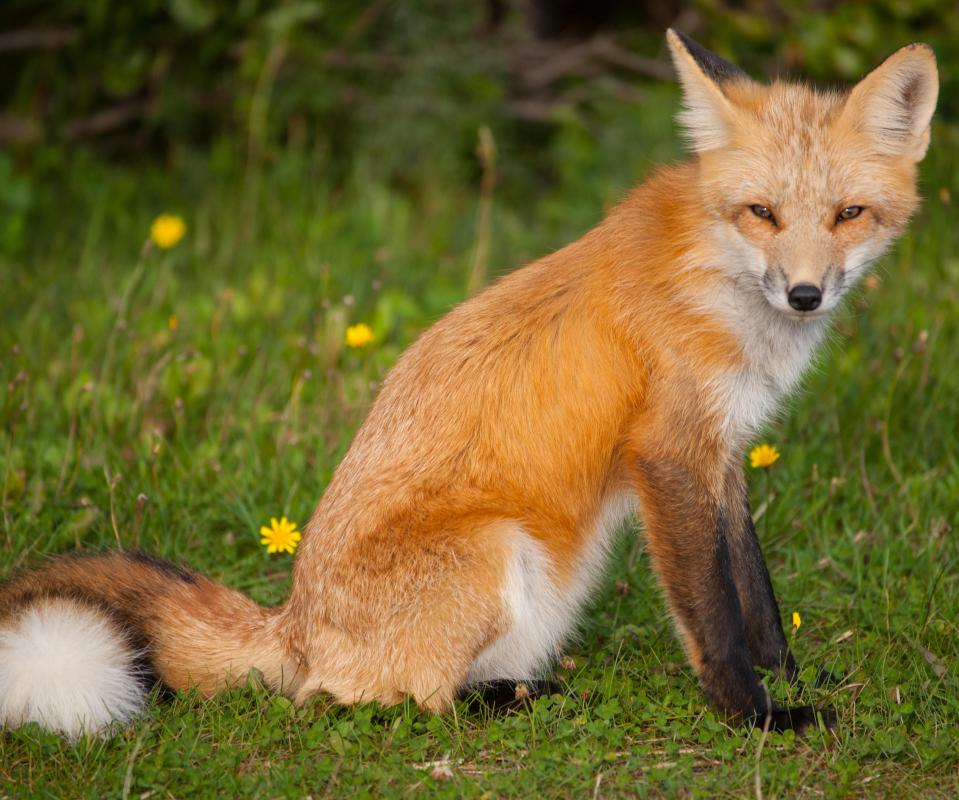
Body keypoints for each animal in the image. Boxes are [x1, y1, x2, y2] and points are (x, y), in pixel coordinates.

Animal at [0, 30, 939, 738]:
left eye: (847, 215)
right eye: (761, 214)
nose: (805, 293)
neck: (715, 273)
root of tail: (292, 624)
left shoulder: (725, 449)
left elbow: (755, 597)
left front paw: (792, 676)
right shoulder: (668, 455)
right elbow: (712, 616)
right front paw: (757, 716)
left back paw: (520, 686)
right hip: (496, 551)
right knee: (363, 703)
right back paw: (506, 700)